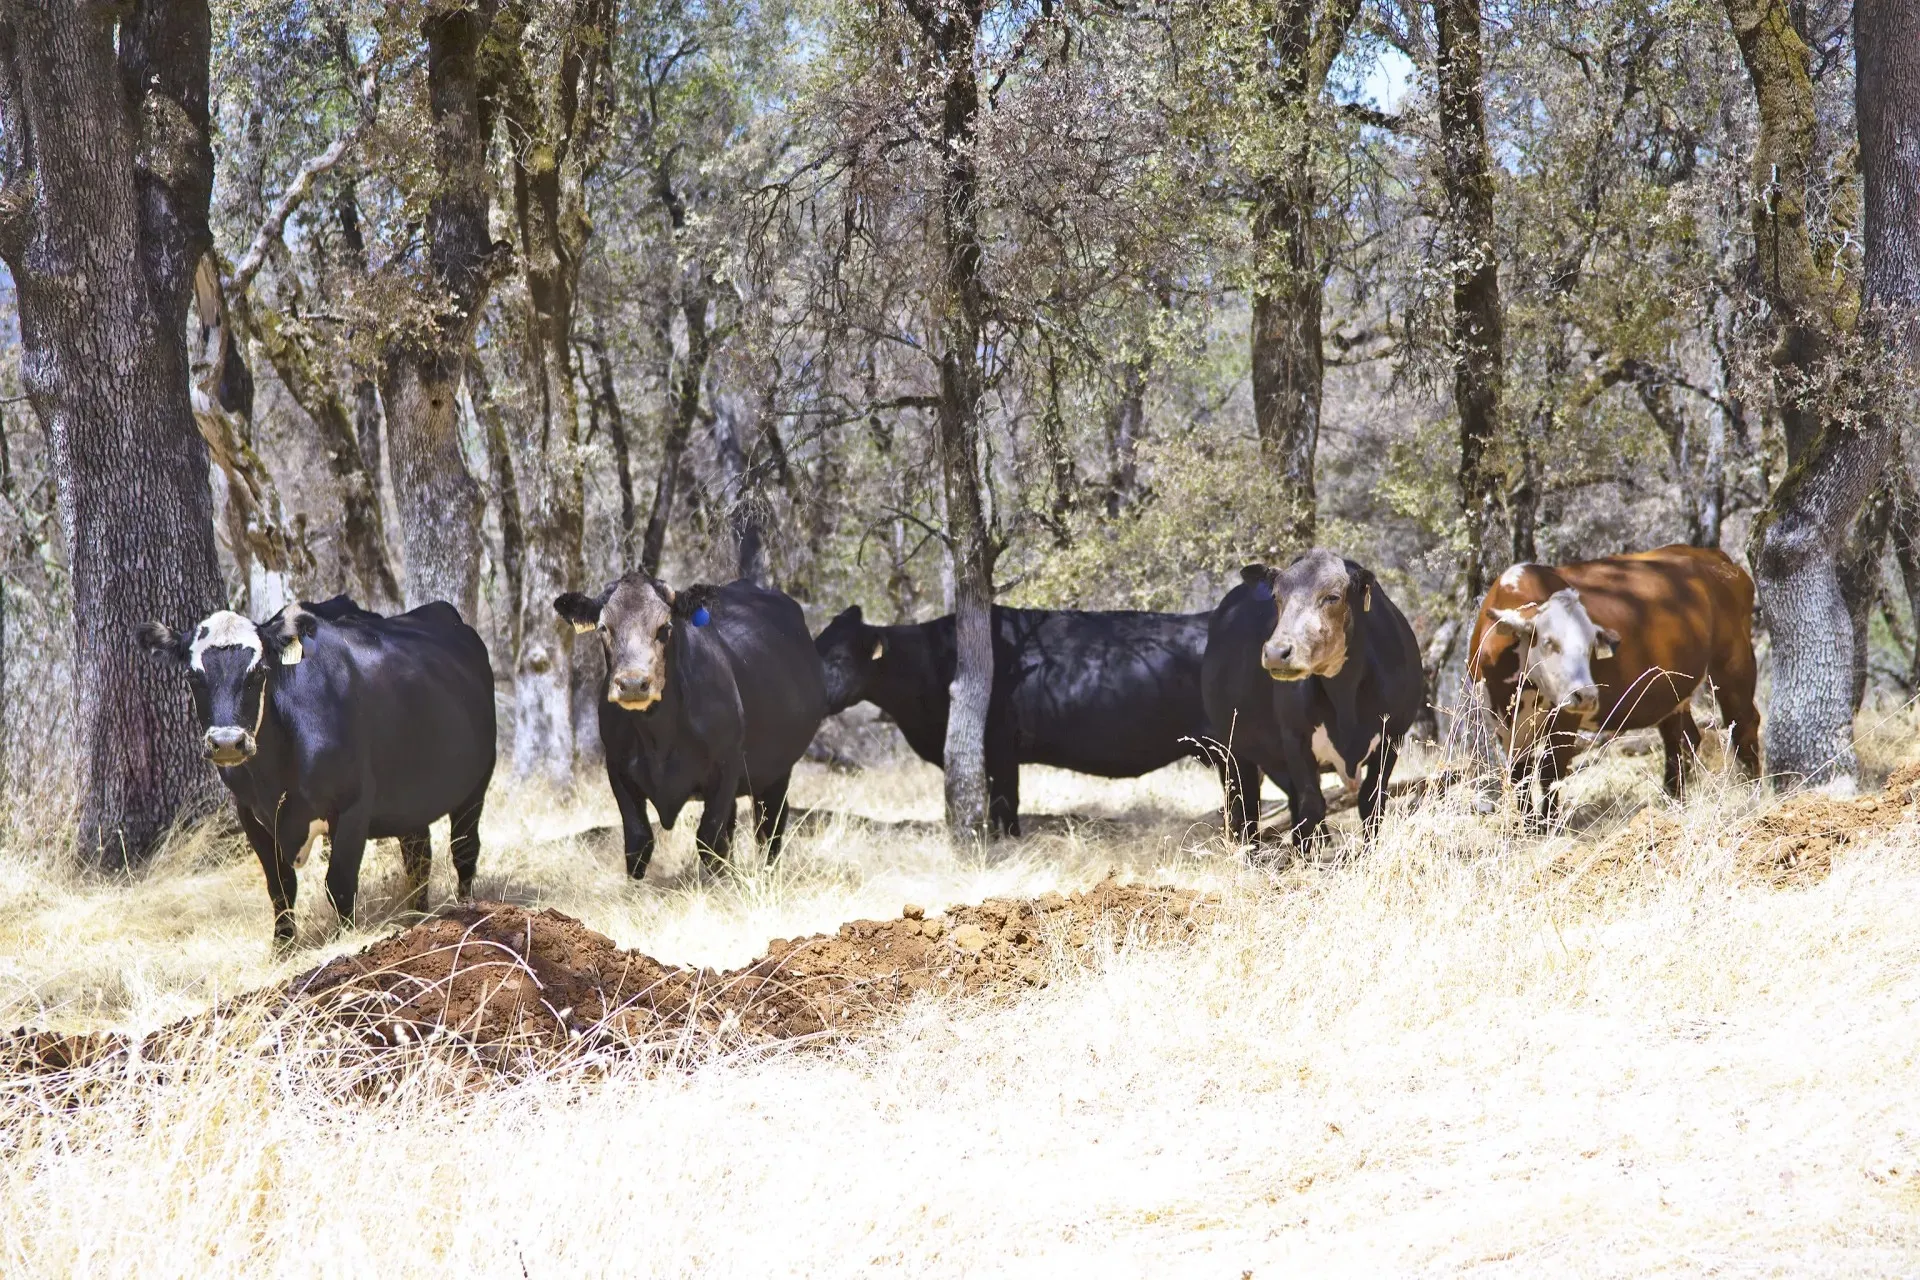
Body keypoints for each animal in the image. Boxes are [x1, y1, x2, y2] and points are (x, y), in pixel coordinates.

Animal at [136, 596, 496, 945]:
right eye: (192, 677)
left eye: (259, 672)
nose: (227, 742)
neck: (276, 775)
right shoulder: (250, 813)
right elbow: (280, 887)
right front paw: (282, 948)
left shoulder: (352, 807)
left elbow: (339, 884)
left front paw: (343, 940)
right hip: (410, 800)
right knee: (418, 855)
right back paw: (416, 915)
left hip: (476, 785)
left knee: (464, 849)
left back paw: (467, 908)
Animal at [555, 575, 826, 878]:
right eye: (604, 628)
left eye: (665, 627)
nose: (633, 684)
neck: (658, 737)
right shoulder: (617, 769)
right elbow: (638, 840)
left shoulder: (726, 767)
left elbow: (710, 839)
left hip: (777, 771)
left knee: (770, 826)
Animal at [1201, 549, 1423, 847]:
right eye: (1276, 596)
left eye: (1333, 596)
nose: (1276, 652)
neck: (1345, 699)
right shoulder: (1295, 738)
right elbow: (1313, 806)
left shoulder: (1393, 736)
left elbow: (1372, 801)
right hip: (1233, 749)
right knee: (1244, 809)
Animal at [1467, 544, 1761, 825]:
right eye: (1549, 642)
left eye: (1590, 647)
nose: (1585, 696)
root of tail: (1713, 557)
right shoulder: (1502, 722)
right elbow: (1520, 775)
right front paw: (1526, 827)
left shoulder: (1564, 718)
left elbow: (1551, 771)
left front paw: (1546, 826)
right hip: (1673, 688)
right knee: (1682, 739)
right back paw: (1673, 800)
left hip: (1733, 663)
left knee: (1743, 724)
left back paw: (1752, 794)